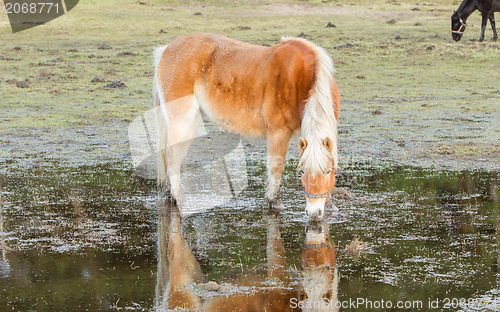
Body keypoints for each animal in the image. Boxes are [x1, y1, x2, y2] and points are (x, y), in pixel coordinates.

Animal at [153, 33, 340, 219]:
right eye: (302, 171)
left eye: (328, 171)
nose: (314, 212)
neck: (301, 78)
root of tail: (166, 50)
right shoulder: (278, 133)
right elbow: (276, 167)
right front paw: (274, 202)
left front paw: (331, 205)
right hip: (182, 121)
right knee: (173, 157)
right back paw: (179, 199)